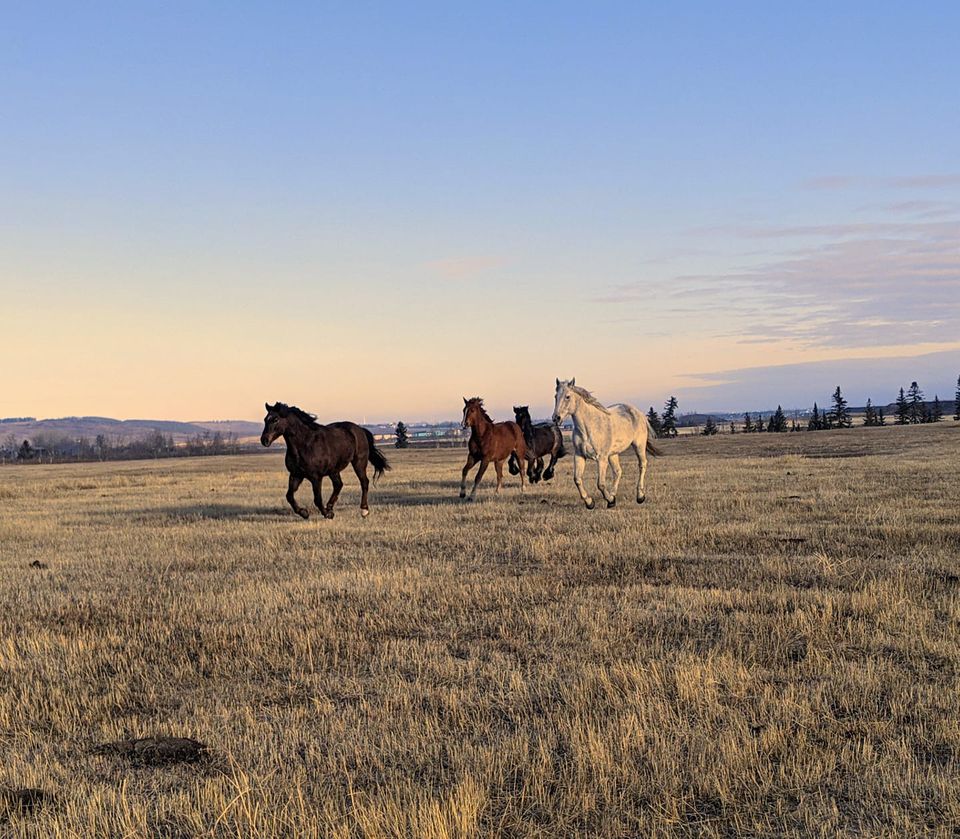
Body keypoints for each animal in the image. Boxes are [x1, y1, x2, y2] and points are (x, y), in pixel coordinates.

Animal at [260, 402, 390, 519]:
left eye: (275, 419)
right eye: (265, 419)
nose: (264, 440)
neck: (305, 444)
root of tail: (360, 429)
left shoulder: (316, 477)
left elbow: (317, 499)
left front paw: (326, 514)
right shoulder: (296, 474)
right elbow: (289, 496)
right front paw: (305, 513)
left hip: (359, 462)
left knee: (364, 482)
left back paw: (364, 510)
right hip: (334, 470)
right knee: (338, 485)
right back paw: (330, 507)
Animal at [552, 379, 661, 509]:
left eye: (567, 396)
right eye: (555, 396)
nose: (556, 418)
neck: (588, 428)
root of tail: (639, 413)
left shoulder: (601, 458)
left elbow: (600, 484)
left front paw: (608, 500)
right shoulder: (579, 455)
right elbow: (577, 479)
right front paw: (590, 503)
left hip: (638, 446)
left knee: (642, 465)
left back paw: (640, 496)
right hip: (613, 454)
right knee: (618, 471)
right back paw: (613, 496)